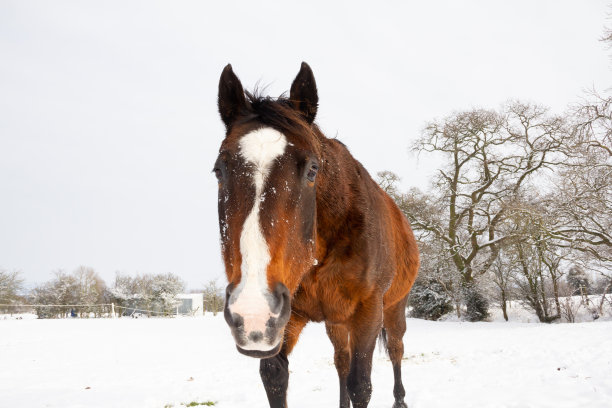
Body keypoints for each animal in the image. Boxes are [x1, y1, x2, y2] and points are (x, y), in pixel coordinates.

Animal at [213, 61, 418, 408]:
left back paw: (401, 399)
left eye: (312, 169)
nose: (252, 310)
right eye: (219, 170)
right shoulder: (286, 318)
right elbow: (276, 378)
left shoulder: (368, 312)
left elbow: (361, 385)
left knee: (395, 350)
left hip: (393, 308)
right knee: (341, 361)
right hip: (335, 321)